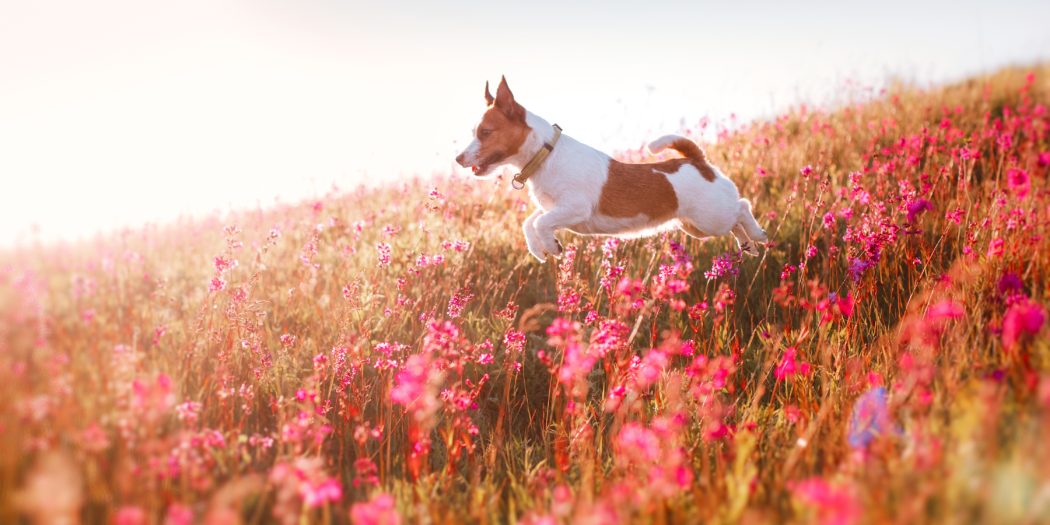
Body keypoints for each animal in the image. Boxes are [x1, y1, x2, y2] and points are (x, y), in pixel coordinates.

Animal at [455, 75, 768, 261]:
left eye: (485, 132)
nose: (458, 159)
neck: (546, 155)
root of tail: (696, 160)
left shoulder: (574, 208)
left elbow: (540, 222)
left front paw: (550, 246)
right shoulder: (555, 208)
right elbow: (530, 222)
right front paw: (541, 249)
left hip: (710, 218)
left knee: (742, 207)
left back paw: (757, 235)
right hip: (697, 227)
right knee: (736, 222)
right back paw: (748, 245)